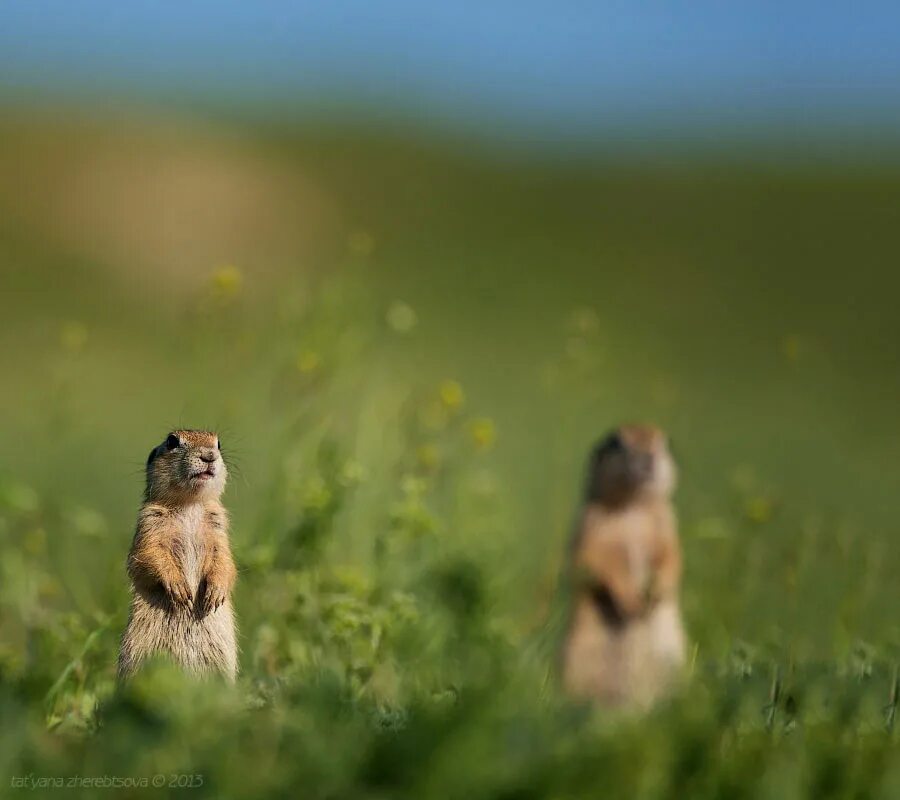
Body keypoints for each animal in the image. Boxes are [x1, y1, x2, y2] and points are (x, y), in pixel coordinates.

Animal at [118, 432, 239, 680]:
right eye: (172, 441)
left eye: (218, 443)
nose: (209, 455)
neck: (189, 505)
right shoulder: (149, 524)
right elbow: (148, 555)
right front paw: (180, 591)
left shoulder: (219, 529)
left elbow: (225, 560)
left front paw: (215, 592)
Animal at [564, 424, 688, 708]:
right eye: (616, 442)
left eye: (663, 442)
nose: (649, 456)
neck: (634, 507)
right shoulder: (592, 529)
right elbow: (601, 563)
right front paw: (631, 601)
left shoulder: (667, 525)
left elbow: (670, 557)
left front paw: (655, 593)